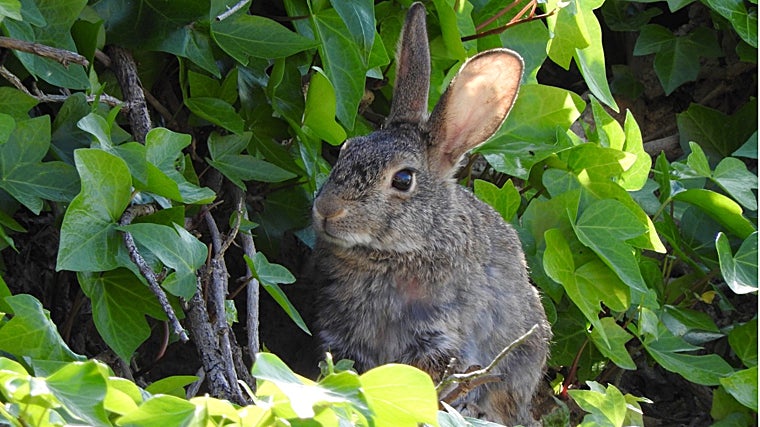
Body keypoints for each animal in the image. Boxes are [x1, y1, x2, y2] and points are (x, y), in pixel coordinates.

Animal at [311, 2, 552, 425]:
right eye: (346, 148)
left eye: (403, 179)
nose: (327, 209)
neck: (396, 254)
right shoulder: (341, 330)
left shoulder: (441, 337)